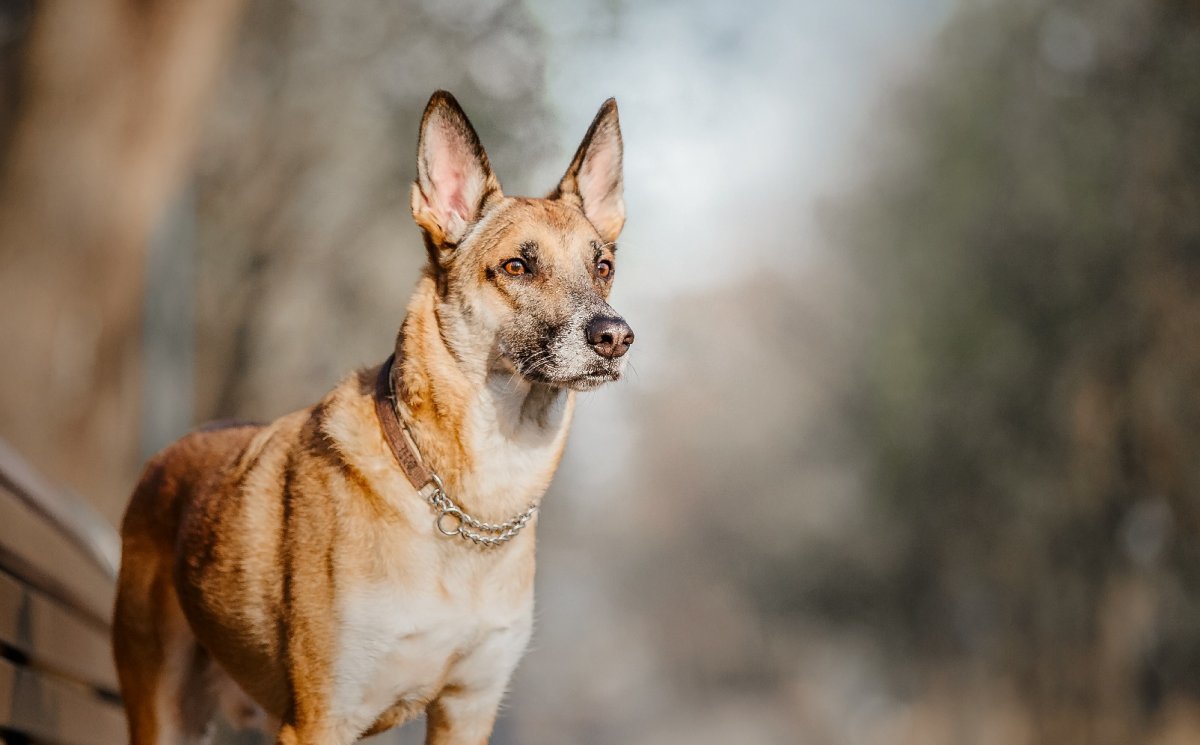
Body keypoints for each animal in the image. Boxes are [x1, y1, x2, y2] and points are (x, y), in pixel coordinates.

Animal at [113, 91, 638, 743]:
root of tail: (170, 452)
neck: (464, 502)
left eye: (603, 267)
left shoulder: (468, 711)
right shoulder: (321, 718)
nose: (615, 337)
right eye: (517, 267)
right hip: (163, 710)